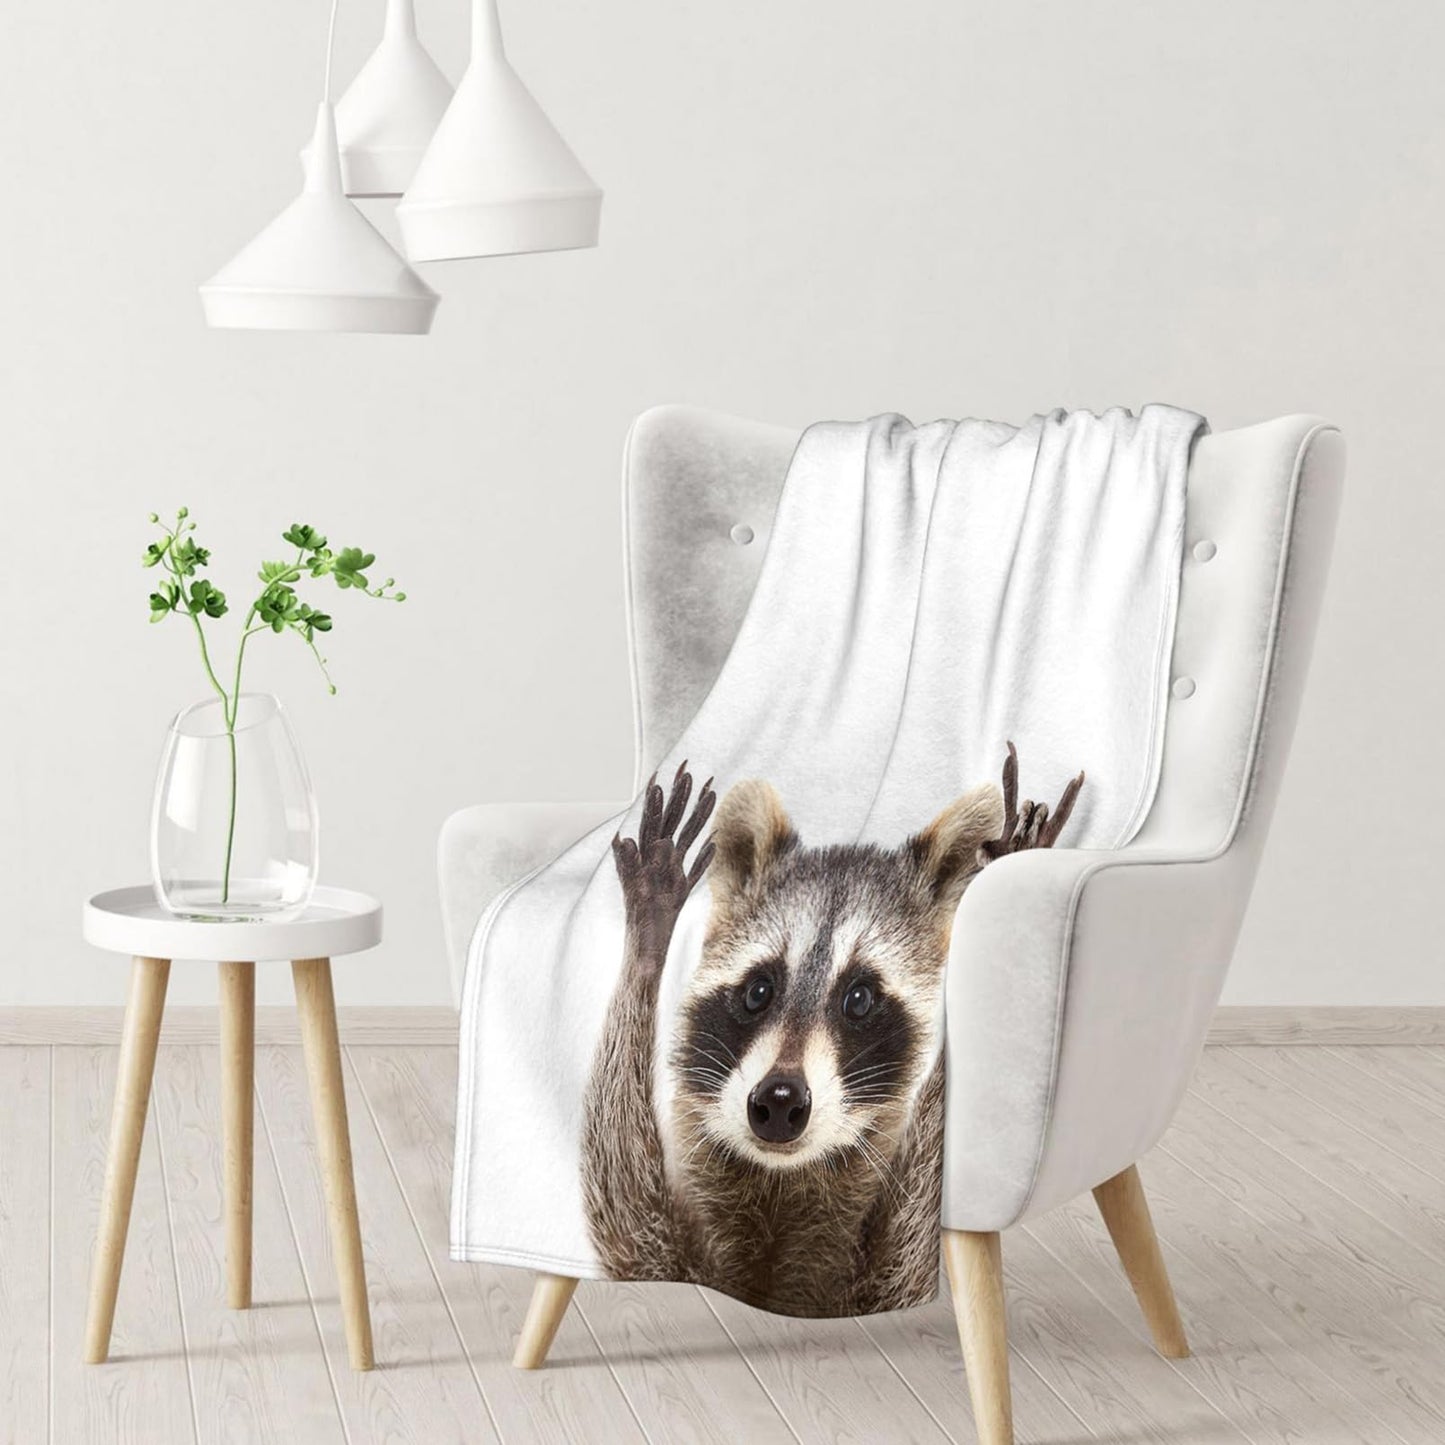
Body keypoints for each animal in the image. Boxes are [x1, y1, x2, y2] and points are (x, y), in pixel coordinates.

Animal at [581, 747, 1082, 1317]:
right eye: (758, 990)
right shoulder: (662, 1243)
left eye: (859, 999)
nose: (778, 1100)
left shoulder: (890, 1266)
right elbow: (623, 1197)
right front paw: (652, 930)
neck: (781, 1181)